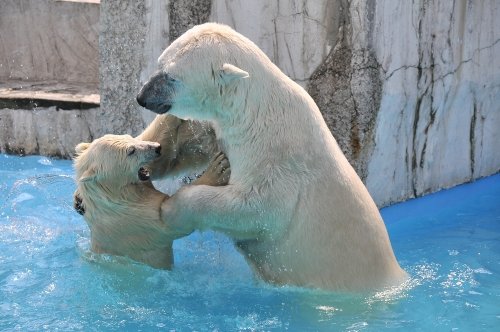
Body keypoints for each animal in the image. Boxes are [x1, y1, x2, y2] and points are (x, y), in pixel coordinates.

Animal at [73, 134, 229, 268]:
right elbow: (169, 219)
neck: (114, 195)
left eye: (130, 136)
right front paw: (216, 168)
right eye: (131, 151)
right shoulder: (134, 220)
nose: (157, 147)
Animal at [136, 22, 406, 290]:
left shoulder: (275, 154)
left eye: (172, 77)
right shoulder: (223, 132)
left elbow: (257, 208)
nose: (142, 97)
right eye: (159, 64)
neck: (253, 111)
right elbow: (184, 151)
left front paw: (172, 209)